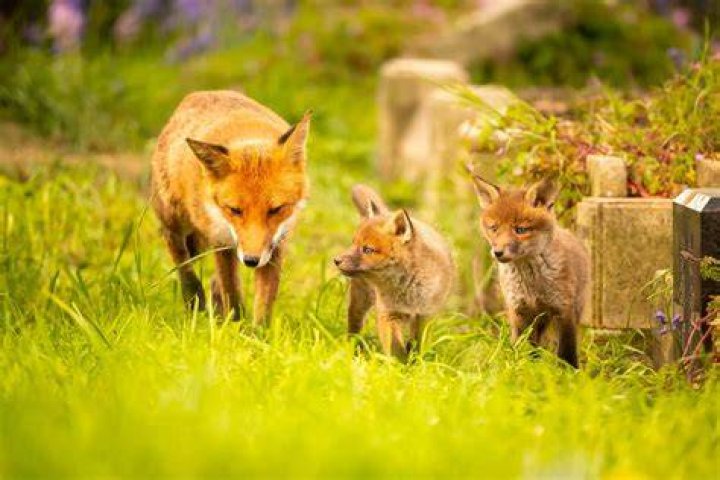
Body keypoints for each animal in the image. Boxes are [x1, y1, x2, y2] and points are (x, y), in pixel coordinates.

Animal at [151, 90, 311, 325]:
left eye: (275, 210)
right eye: (235, 210)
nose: (251, 261)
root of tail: (200, 94)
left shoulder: (275, 246)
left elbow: (263, 305)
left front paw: (257, 333)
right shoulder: (221, 242)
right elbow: (232, 294)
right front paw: (236, 328)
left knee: (213, 283)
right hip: (174, 221)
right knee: (184, 266)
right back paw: (195, 307)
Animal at [333, 185, 455, 359]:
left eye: (367, 249)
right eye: (353, 243)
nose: (336, 260)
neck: (408, 290)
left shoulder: (426, 316)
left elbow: (419, 346)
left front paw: (416, 362)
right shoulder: (387, 314)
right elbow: (395, 348)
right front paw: (398, 364)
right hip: (360, 300)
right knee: (354, 325)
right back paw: (353, 348)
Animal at [466, 167, 589, 368]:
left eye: (520, 230)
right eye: (494, 228)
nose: (497, 252)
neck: (531, 284)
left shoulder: (563, 311)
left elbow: (566, 352)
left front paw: (568, 373)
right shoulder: (518, 311)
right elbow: (522, 349)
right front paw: (524, 369)